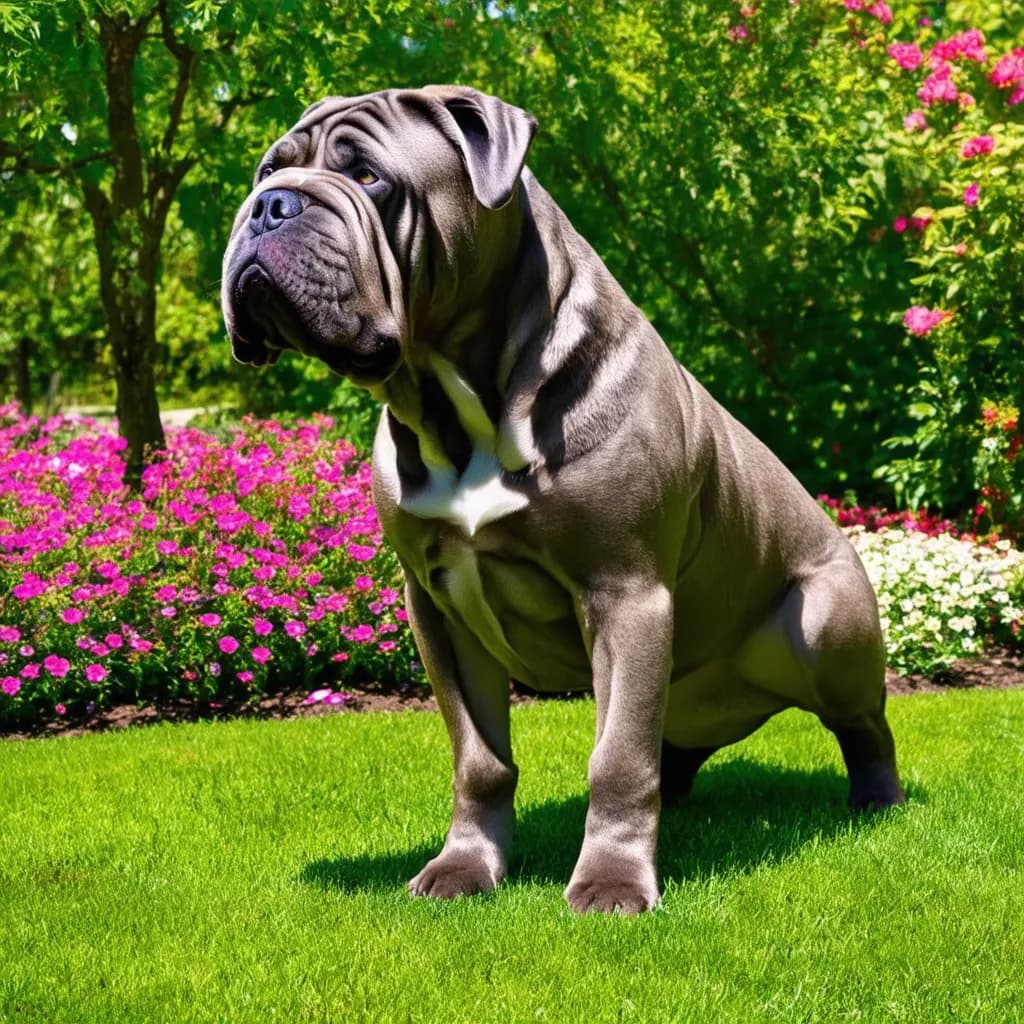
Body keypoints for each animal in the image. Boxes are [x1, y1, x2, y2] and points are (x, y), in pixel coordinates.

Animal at [224, 86, 905, 913]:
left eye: (370, 179)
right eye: (268, 170)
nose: (269, 206)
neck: (452, 404)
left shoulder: (624, 592)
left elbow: (616, 758)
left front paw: (612, 883)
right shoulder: (439, 610)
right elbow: (480, 758)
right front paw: (465, 868)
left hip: (827, 629)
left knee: (859, 725)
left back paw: (877, 800)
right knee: (669, 745)